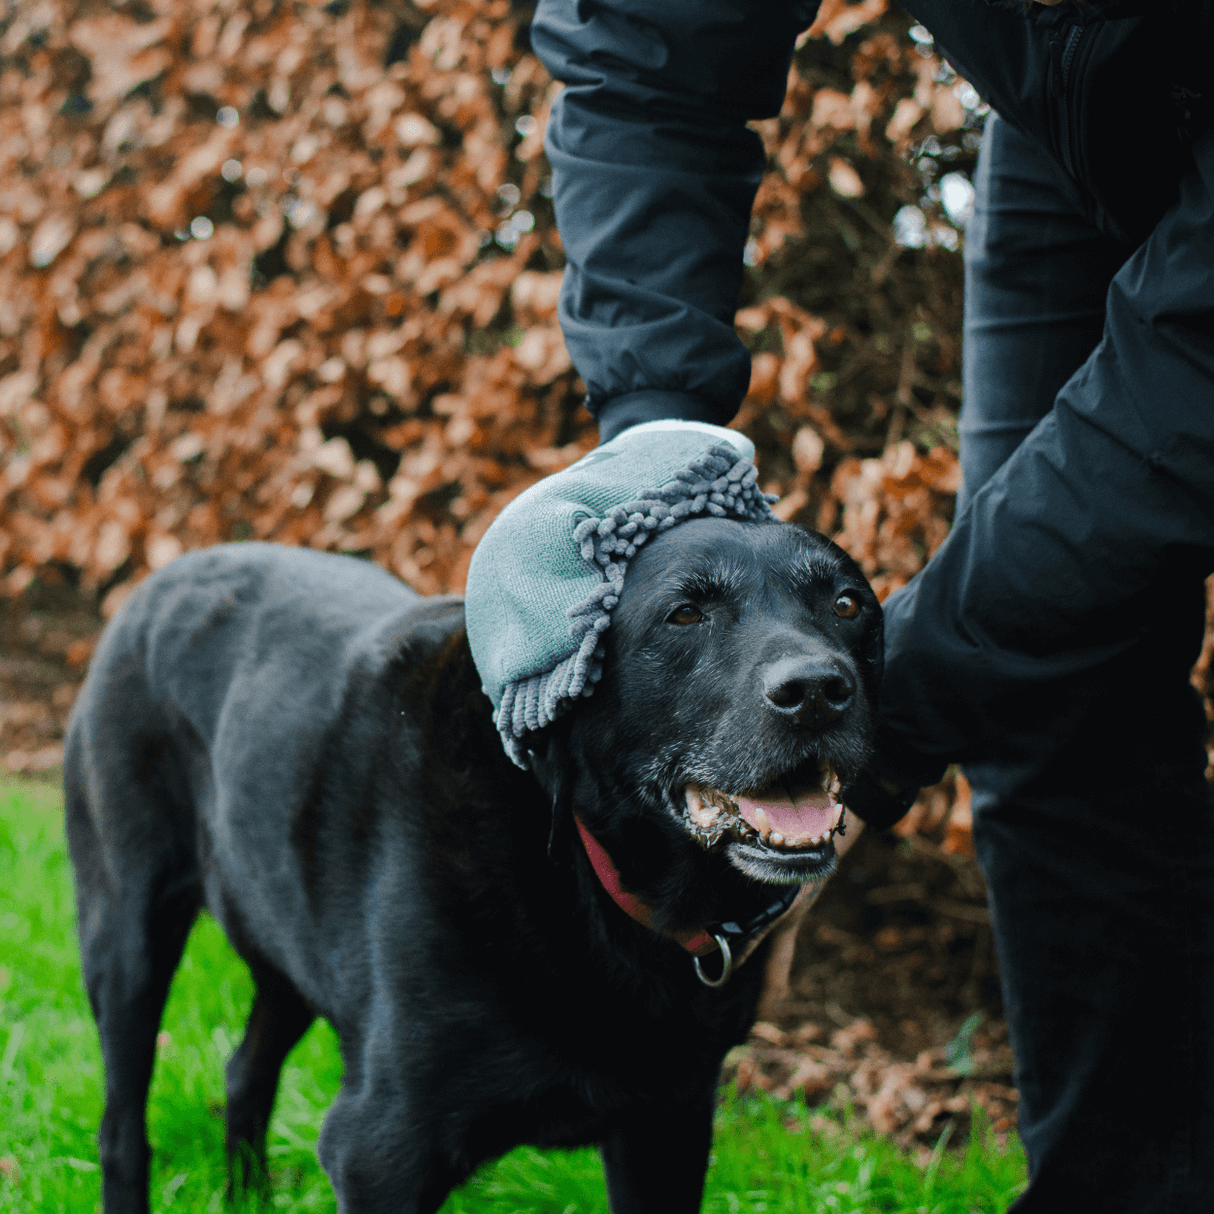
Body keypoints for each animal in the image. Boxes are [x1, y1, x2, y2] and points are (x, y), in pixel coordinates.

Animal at [64, 517, 883, 1209]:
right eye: (684, 614)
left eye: (847, 603)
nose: (817, 691)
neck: (589, 877)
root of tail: (166, 575)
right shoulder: (380, 1151)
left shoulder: (669, 1127)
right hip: (127, 939)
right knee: (120, 1126)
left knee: (244, 1072)